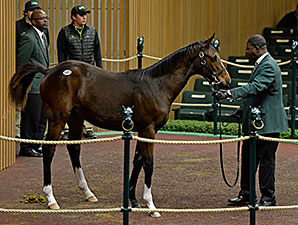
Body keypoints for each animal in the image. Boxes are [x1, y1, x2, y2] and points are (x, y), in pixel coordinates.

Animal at [8, 33, 230, 213]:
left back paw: (88, 193)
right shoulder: (149, 130)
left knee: (74, 149)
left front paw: (133, 200)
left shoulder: (141, 130)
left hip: (76, 118)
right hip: (57, 119)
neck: (156, 84)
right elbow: (148, 163)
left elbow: (137, 161)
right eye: (213, 57)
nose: (226, 82)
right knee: (49, 151)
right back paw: (51, 198)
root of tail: (48, 71)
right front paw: (150, 205)